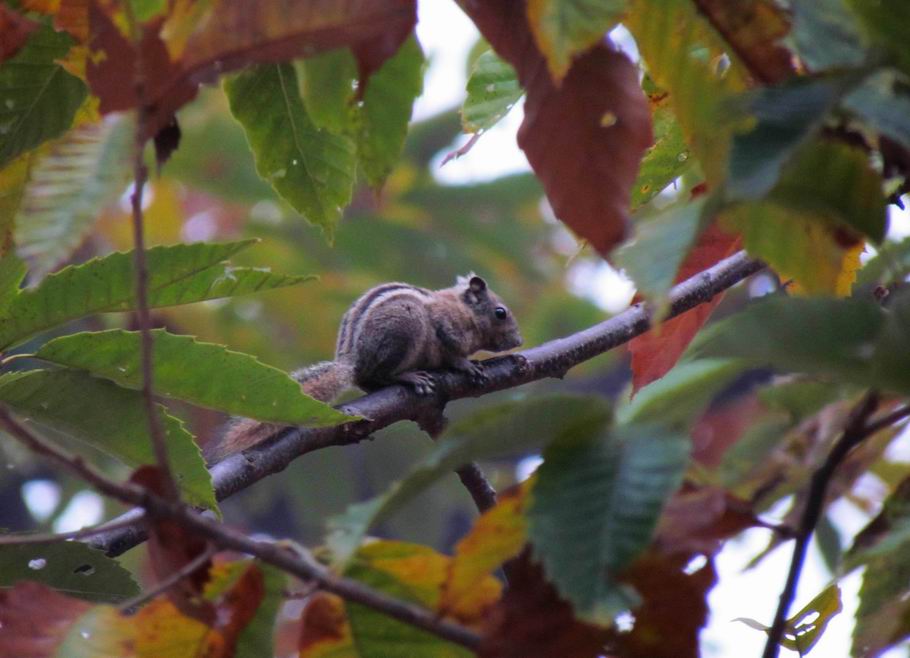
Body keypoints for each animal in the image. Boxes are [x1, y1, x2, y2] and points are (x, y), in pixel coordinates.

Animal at [203, 272, 524, 462]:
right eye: (500, 313)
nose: (519, 341)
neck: (466, 313)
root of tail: (351, 363)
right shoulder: (446, 326)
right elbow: (451, 351)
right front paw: (467, 365)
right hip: (405, 329)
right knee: (383, 373)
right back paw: (411, 377)